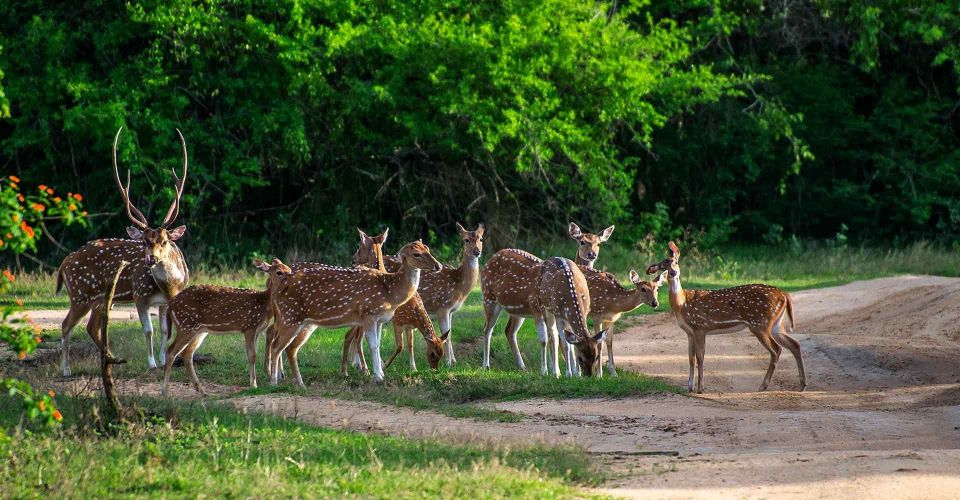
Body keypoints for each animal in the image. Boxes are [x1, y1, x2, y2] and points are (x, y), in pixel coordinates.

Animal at [56, 127, 189, 376]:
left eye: (165, 241)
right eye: (144, 241)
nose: (151, 259)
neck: (169, 287)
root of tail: (63, 264)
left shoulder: (166, 301)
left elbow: (165, 331)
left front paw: (164, 359)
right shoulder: (140, 295)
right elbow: (148, 330)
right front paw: (152, 363)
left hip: (100, 299)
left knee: (92, 327)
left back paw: (110, 358)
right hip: (80, 294)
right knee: (66, 324)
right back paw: (66, 369)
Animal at [264, 240, 440, 384]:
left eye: (427, 248)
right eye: (416, 254)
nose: (438, 266)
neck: (390, 291)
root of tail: (275, 290)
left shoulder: (379, 320)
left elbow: (378, 344)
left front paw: (380, 372)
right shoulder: (368, 314)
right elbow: (373, 345)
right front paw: (377, 376)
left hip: (303, 323)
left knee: (288, 347)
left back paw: (297, 382)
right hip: (290, 317)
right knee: (277, 345)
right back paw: (274, 380)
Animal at [644, 242, 808, 394]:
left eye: (676, 262)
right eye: (663, 265)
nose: (673, 272)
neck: (681, 303)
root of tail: (783, 294)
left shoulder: (700, 327)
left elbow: (700, 356)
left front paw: (700, 388)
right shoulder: (689, 332)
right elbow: (690, 357)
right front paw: (690, 387)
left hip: (760, 324)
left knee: (776, 350)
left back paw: (763, 385)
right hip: (775, 324)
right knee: (794, 344)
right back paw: (802, 385)